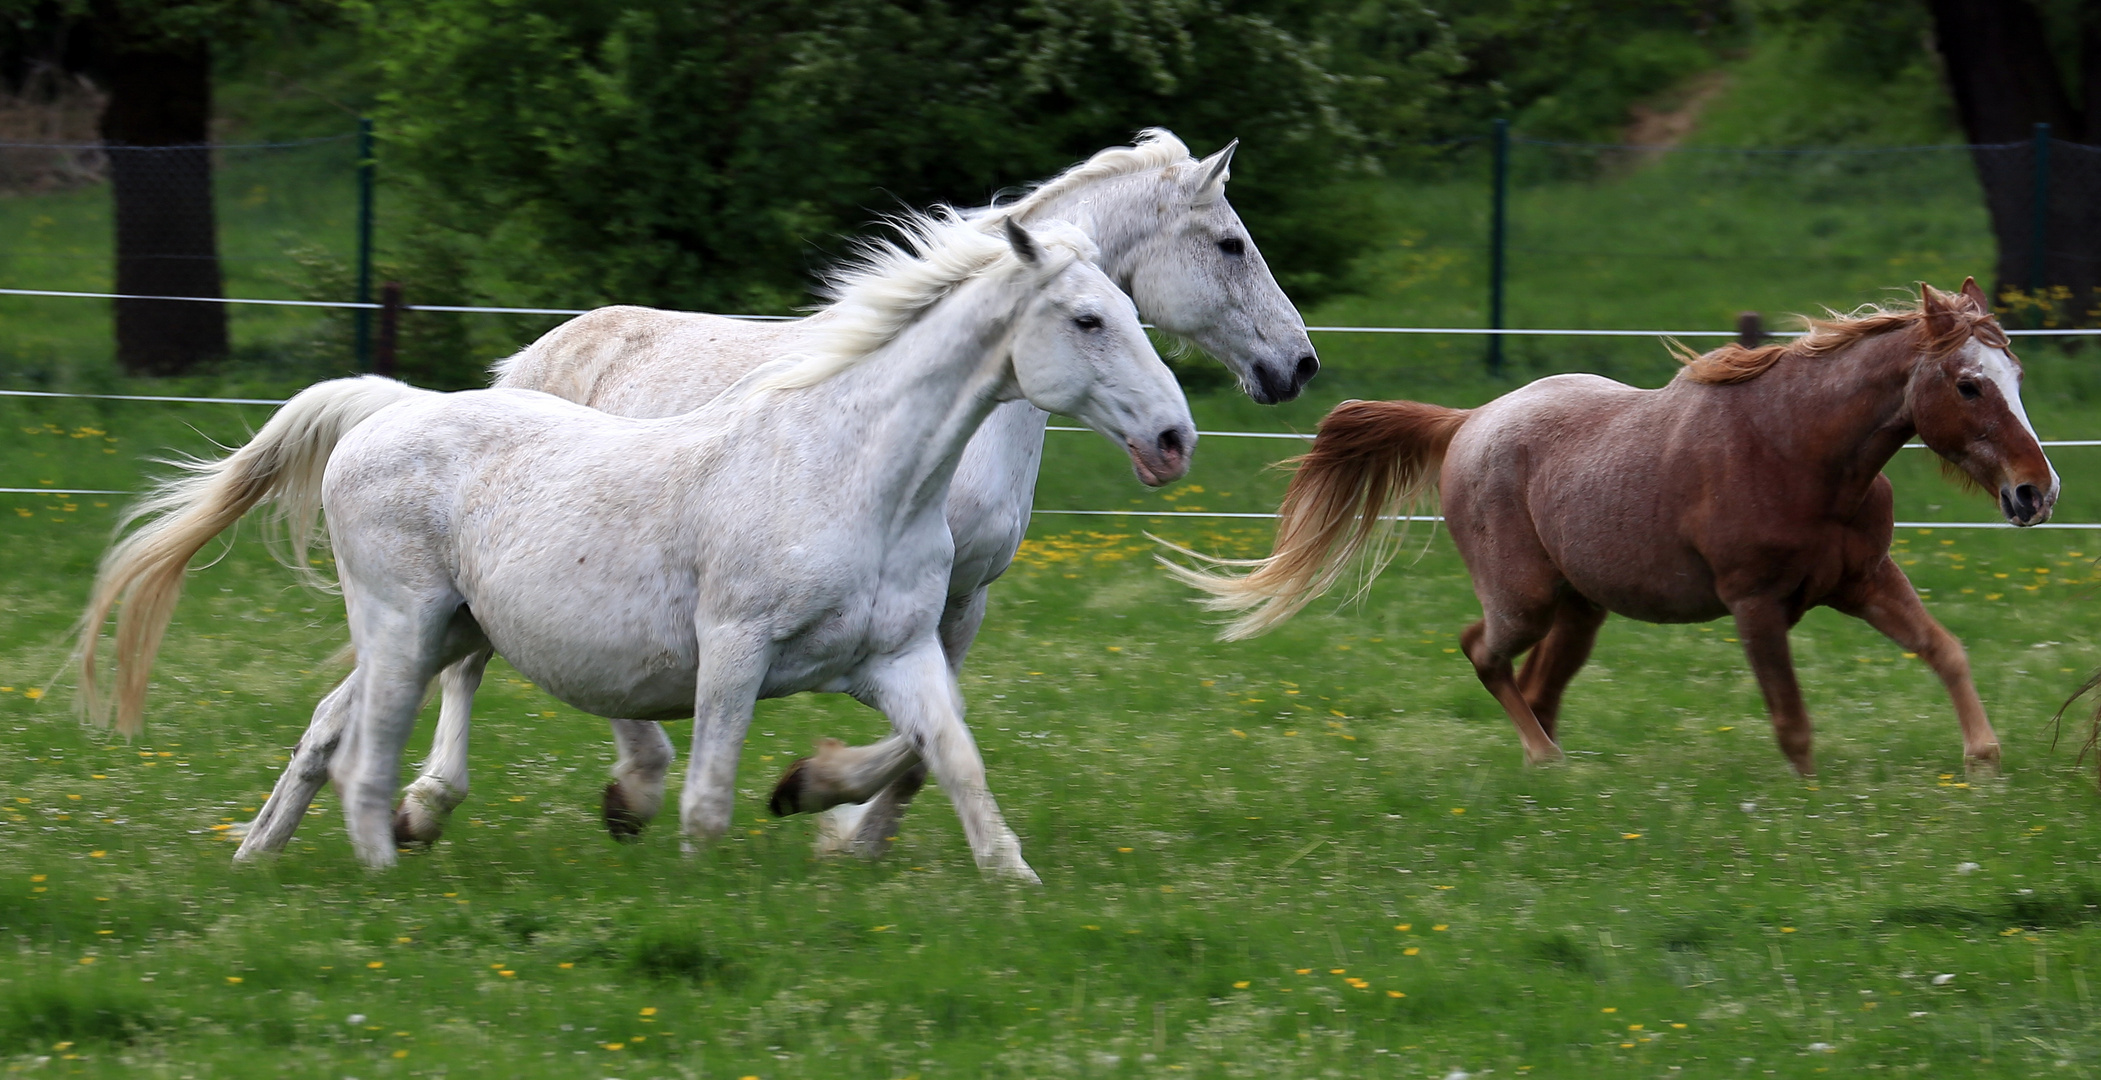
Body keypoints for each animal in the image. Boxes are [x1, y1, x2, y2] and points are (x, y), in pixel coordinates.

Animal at [77, 214, 1201, 878]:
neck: (852, 471)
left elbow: (953, 759)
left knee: (326, 730)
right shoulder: (735, 648)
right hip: (404, 629)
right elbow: (707, 797)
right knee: (367, 753)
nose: (1173, 437)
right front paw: (701, 885)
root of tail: (387, 413)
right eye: (1088, 319)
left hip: (443, 632)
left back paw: (260, 854)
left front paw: (1010, 883)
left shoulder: (899, 656)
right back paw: (383, 871)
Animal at [357, 128, 1311, 848]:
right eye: (1230, 243)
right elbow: (919, 736)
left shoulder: (955, 601)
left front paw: (846, 824)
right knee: (476, 665)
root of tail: (535, 354)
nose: (1296, 365)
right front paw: (823, 800)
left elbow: (935, 731)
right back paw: (479, 801)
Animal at [1176, 275, 2058, 764]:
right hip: (1525, 602)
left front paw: (1984, 762)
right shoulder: (1755, 606)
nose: (2035, 493)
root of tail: (1467, 422)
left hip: (1579, 612)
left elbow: (1944, 651)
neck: (1794, 448)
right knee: (1481, 654)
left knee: (1535, 687)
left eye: (2015, 373)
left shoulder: (1864, 580)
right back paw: (1545, 764)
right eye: (1968, 384)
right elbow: (1792, 725)